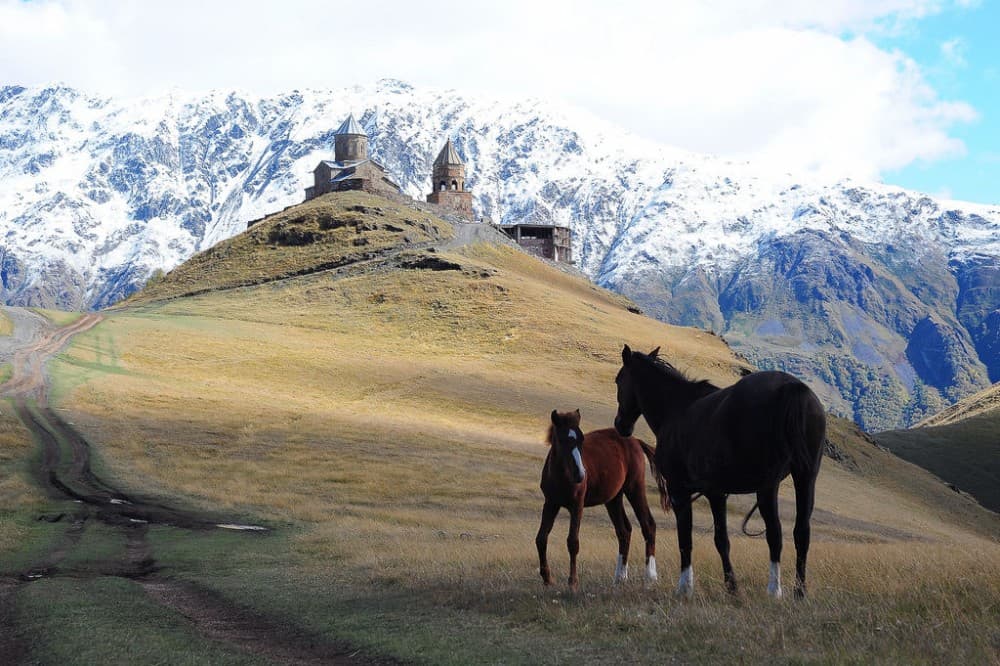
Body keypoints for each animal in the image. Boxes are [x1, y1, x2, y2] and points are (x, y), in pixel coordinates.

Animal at [536, 409, 668, 590]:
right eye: (562, 440)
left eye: (581, 439)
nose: (580, 475)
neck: (561, 476)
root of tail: (635, 441)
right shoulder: (550, 503)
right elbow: (541, 538)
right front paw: (547, 578)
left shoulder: (577, 505)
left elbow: (573, 542)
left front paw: (573, 582)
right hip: (613, 499)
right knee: (624, 531)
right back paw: (620, 577)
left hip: (634, 488)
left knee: (648, 525)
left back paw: (650, 577)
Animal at [613, 345, 825, 599]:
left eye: (618, 380)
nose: (620, 425)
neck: (676, 410)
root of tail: (791, 387)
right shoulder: (717, 493)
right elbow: (722, 541)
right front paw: (732, 587)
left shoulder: (680, 492)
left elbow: (686, 539)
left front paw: (685, 587)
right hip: (806, 478)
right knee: (801, 532)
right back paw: (799, 592)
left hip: (768, 486)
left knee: (775, 534)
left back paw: (774, 590)